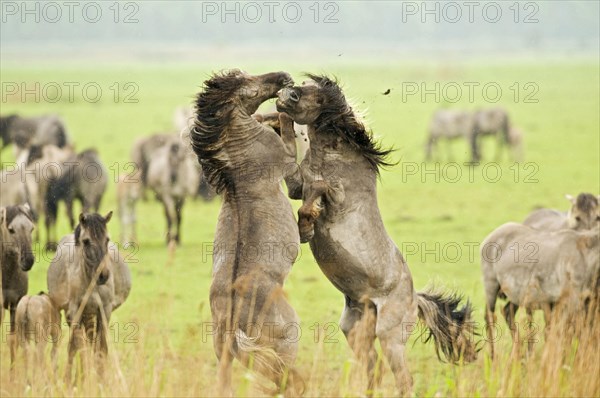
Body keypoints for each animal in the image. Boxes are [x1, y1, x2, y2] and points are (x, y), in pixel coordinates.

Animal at [46, 213, 131, 380]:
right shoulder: (74, 312)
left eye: (107, 239)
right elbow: (79, 347)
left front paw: (101, 379)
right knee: (75, 346)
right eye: (86, 241)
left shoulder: (104, 311)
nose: (103, 275)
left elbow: (101, 348)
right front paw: (80, 379)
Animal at [274, 75, 476, 394]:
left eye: (318, 97)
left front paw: (305, 229)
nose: (287, 94)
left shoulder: (336, 197)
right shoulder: (297, 185)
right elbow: (295, 170)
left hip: (390, 335)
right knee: (373, 369)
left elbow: (317, 192)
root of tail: (414, 299)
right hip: (355, 329)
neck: (333, 158)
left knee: (403, 379)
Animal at [482, 222, 600, 356]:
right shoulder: (571, 304)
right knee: (489, 318)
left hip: (515, 297)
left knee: (508, 313)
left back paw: (518, 353)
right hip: (491, 289)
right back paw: (493, 356)